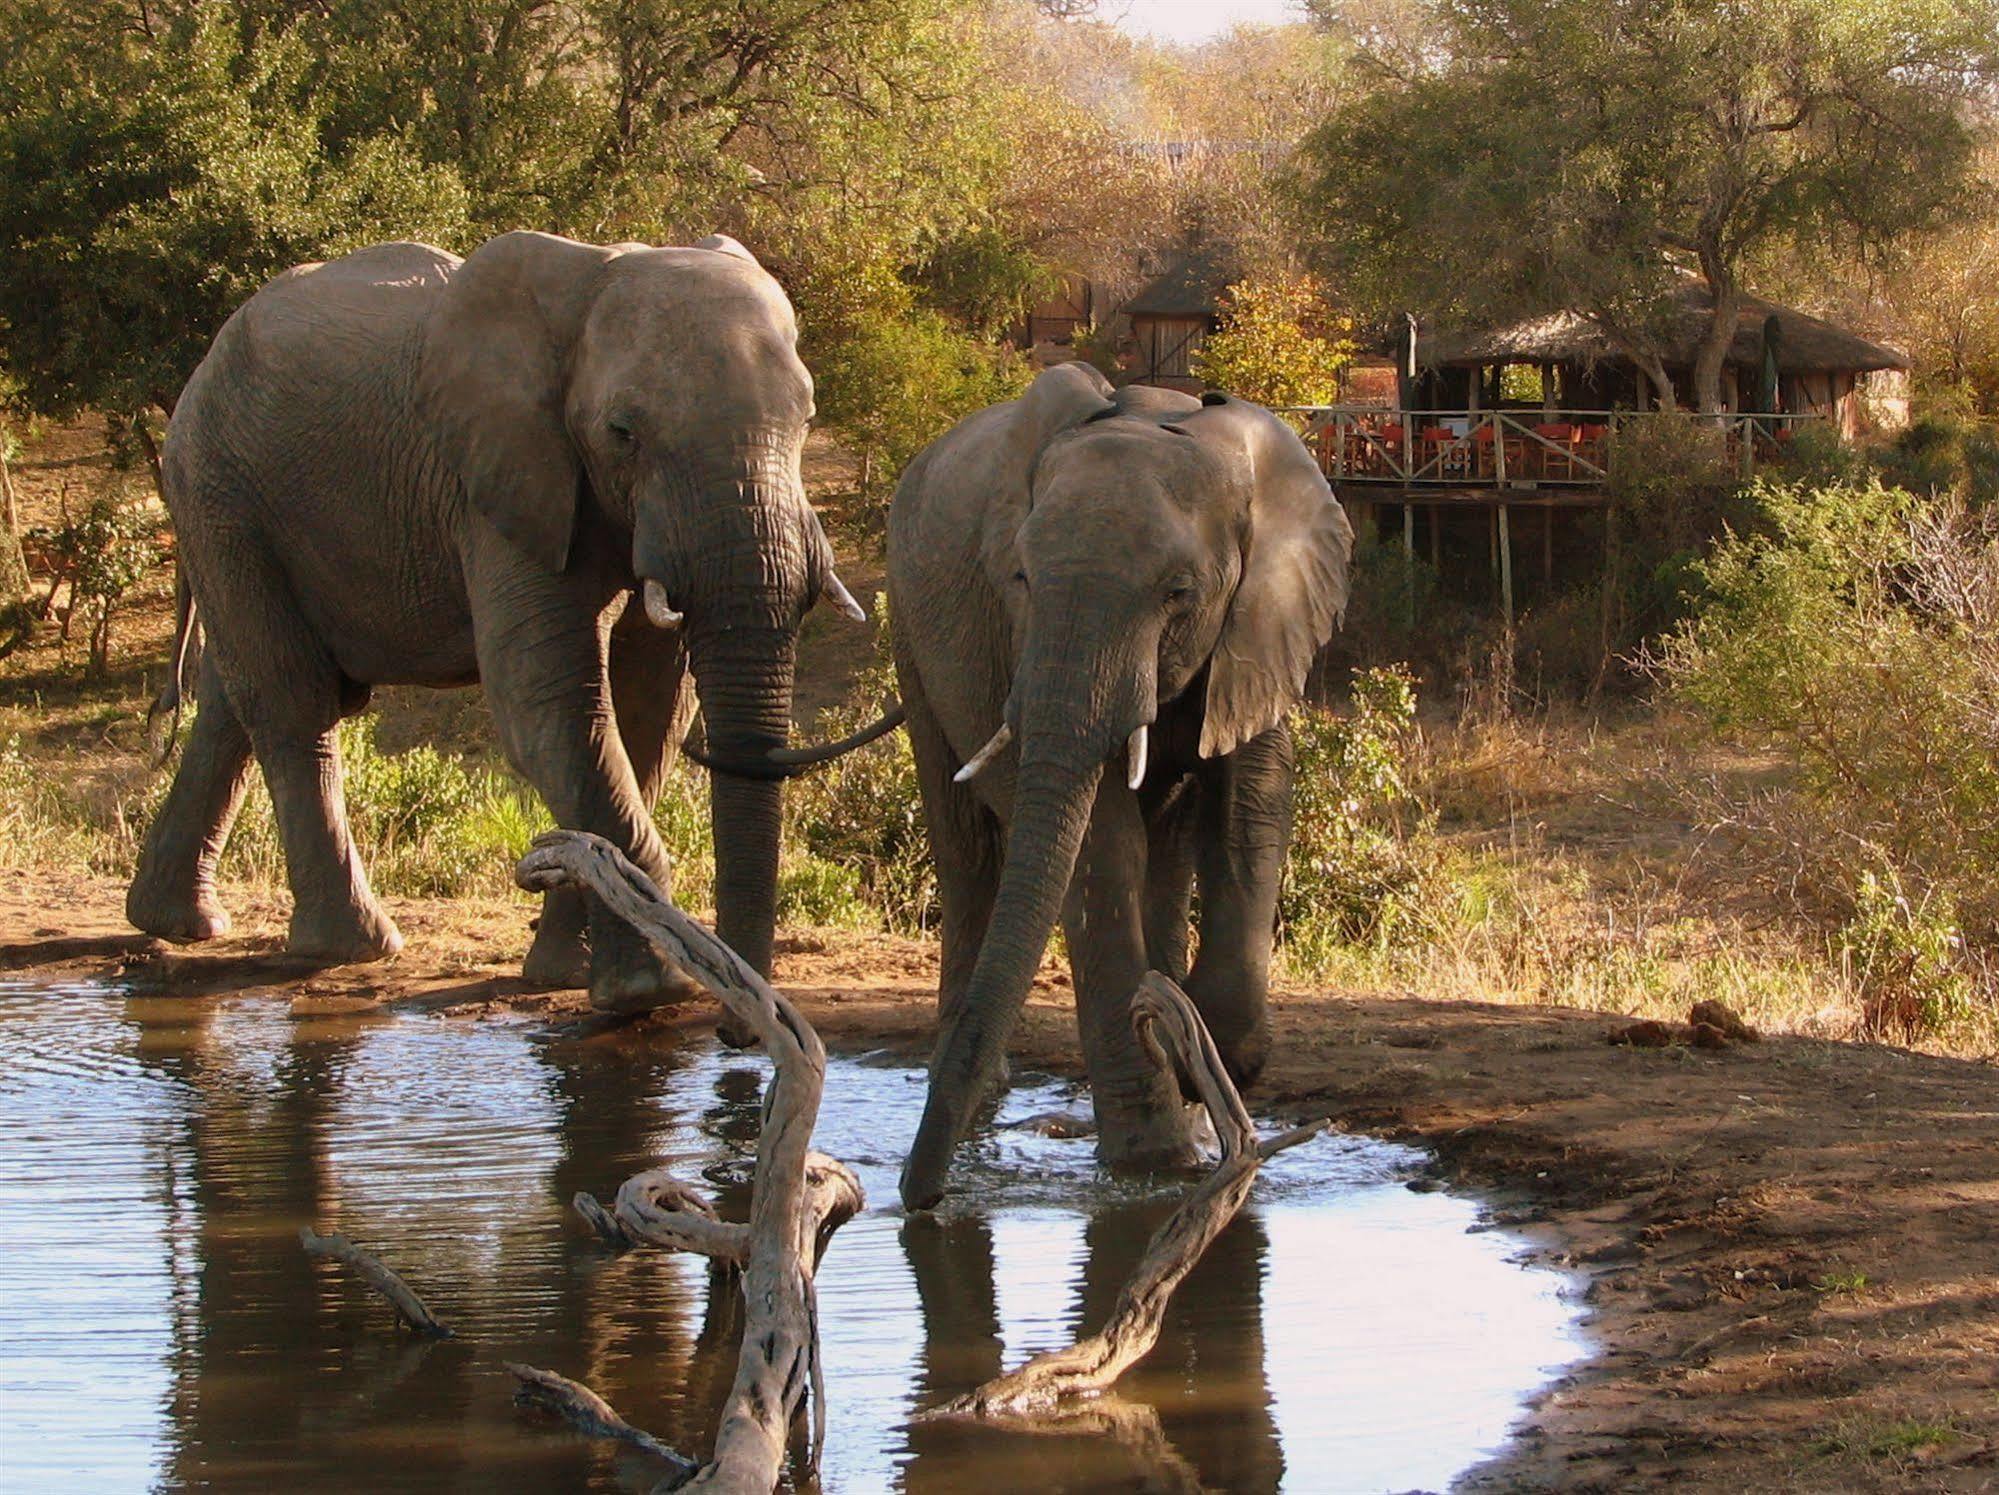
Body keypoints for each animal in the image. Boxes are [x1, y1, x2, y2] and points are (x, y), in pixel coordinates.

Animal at [124, 227, 859, 1011]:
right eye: (622, 433)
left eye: (807, 420)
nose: (737, 1019)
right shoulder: (496, 481)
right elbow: (551, 707)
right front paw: (644, 990)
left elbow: (649, 714)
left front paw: (565, 971)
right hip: (218, 489)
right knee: (292, 697)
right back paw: (352, 947)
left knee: (233, 698)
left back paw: (179, 923)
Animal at [895, 365, 1351, 1215]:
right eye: (1020, 577)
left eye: (1178, 591)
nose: (918, 1200)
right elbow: (1098, 841)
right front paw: (1154, 1161)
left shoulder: (1261, 620)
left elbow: (1252, 801)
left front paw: (1205, 1053)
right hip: (910, 634)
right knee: (966, 845)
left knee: (1162, 847)